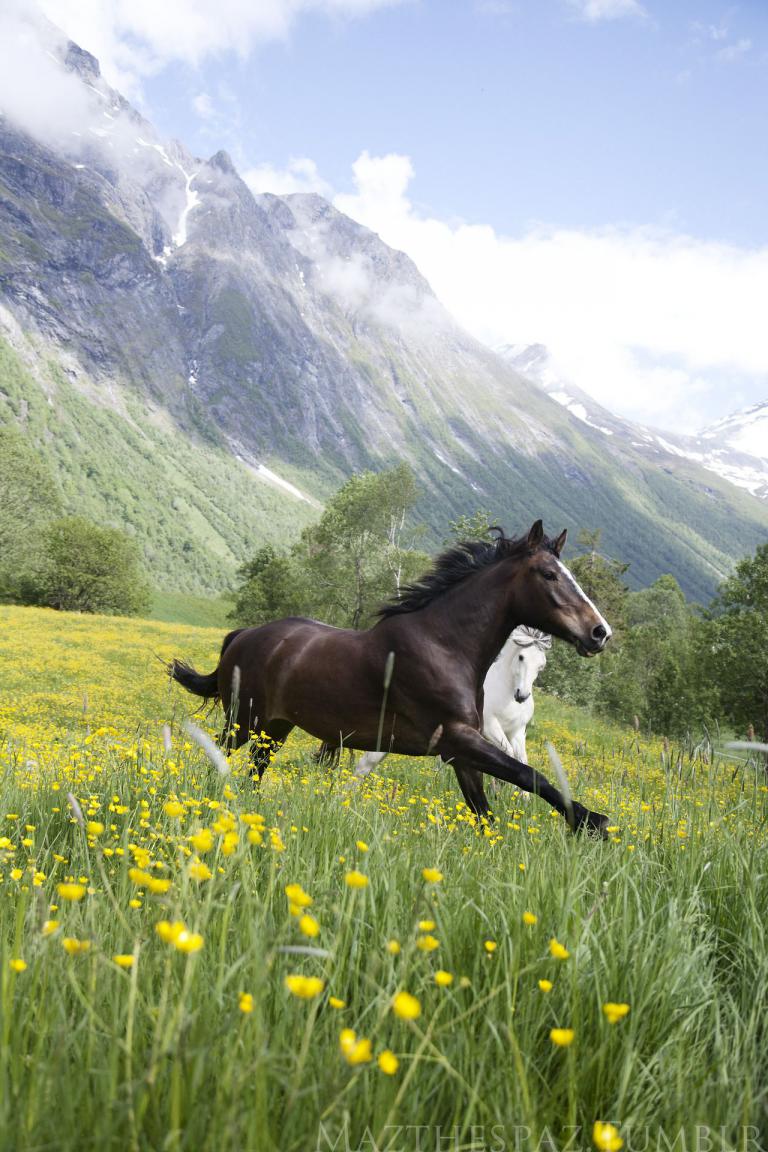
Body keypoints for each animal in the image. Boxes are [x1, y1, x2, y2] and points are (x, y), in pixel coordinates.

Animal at [351, 625, 551, 778]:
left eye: (541, 665)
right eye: (521, 657)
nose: (522, 695)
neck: (506, 693)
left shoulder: (517, 732)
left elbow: (522, 759)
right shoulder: (491, 727)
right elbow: (508, 752)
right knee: (366, 762)